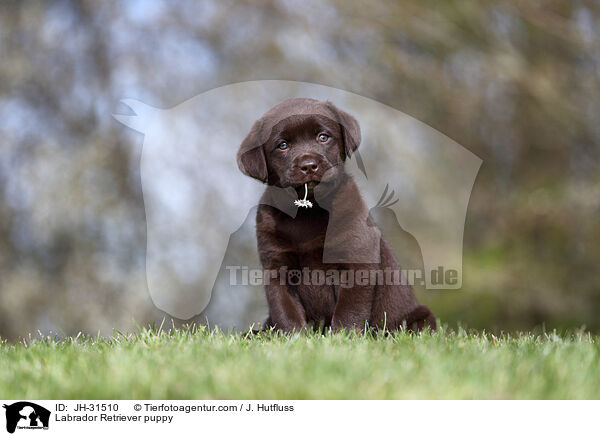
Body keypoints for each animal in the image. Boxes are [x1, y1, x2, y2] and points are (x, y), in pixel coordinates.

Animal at [236, 97, 436, 332]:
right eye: (283, 145)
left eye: (323, 137)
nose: (308, 166)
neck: (308, 211)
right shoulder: (277, 267)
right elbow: (286, 312)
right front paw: (294, 337)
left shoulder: (356, 259)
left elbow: (349, 310)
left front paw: (343, 336)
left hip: (419, 318)